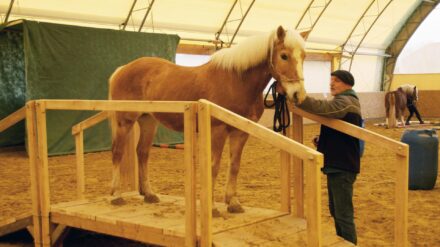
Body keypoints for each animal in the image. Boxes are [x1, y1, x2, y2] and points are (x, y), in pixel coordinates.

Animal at [109, 25, 310, 214]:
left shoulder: (240, 132)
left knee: (142, 153)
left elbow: (234, 165)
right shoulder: (217, 130)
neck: (236, 82)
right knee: (117, 152)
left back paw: (149, 194)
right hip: (124, 121)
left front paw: (233, 203)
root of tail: (121, 70)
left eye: (304, 56)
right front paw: (212, 208)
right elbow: (213, 167)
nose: (298, 95)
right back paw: (116, 195)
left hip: (148, 121)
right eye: (284, 56)